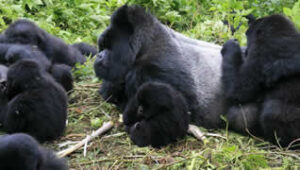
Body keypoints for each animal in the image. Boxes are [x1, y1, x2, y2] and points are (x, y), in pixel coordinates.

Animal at [95, 4, 226, 147]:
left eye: (109, 47)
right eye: (102, 46)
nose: (98, 56)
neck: (143, 47)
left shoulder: (154, 68)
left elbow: (177, 116)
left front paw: (139, 133)